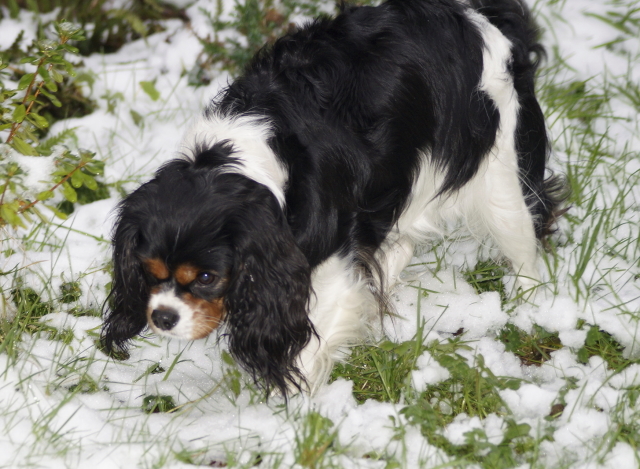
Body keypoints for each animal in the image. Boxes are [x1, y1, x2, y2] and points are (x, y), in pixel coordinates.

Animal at [100, 0, 564, 394]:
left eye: (207, 278)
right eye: (147, 269)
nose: (162, 317)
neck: (236, 158)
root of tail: (481, 18)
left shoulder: (326, 265)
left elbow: (308, 347)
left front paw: (289, 417)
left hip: (503, 177)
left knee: (525, 244)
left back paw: (529, 307)